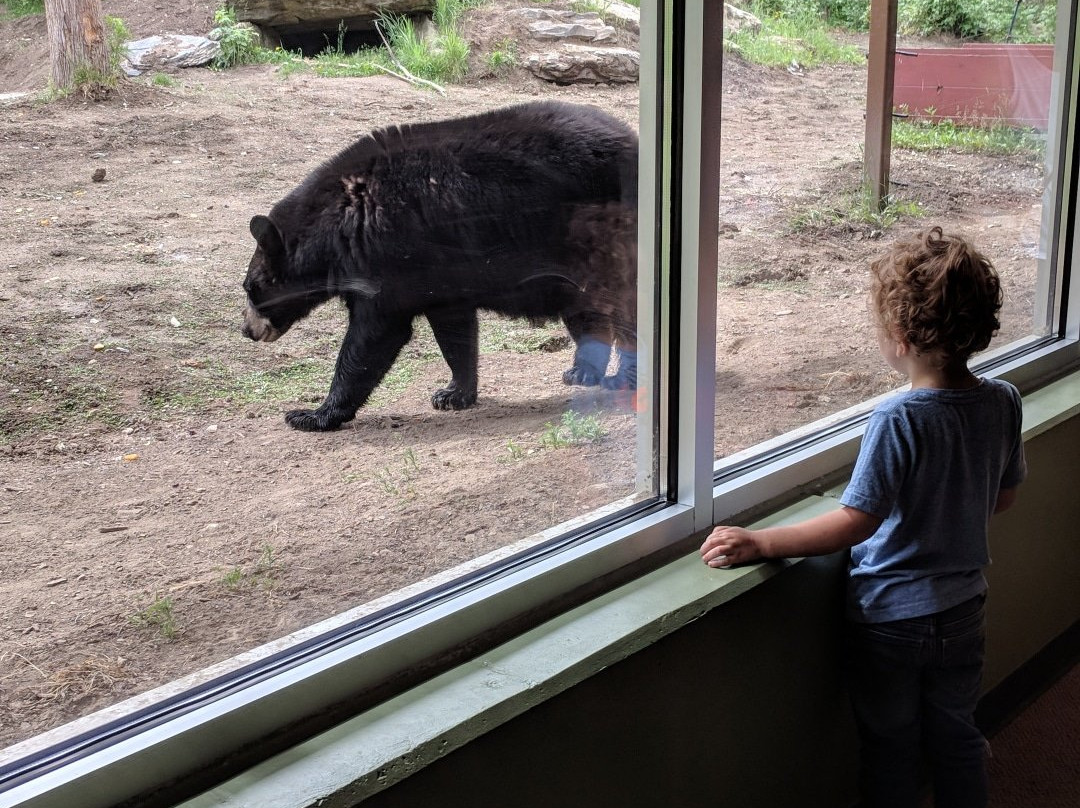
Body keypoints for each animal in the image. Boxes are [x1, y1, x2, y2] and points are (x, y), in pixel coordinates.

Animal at [241, 100, 638, 432]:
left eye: (250, 288)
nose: (247, 331)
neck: (343, 217)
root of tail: (633, 138)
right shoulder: (440, 273)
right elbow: (455, 330)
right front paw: (454, 393)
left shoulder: (386, 255)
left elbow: (373, 335)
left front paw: (312, 414)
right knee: (586, 312)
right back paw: (582, 372)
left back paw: (624, 378)